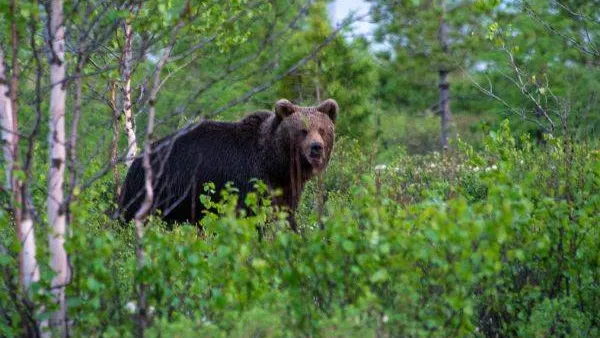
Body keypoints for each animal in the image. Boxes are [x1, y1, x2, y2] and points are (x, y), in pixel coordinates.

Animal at [117, 97, 338, 230]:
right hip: (155, 190)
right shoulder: (247, 180)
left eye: (322, 129)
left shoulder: (287, 187)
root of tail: (136, 160)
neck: (276, 164)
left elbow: (285, 215)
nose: (316, 148)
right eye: (303, 130)